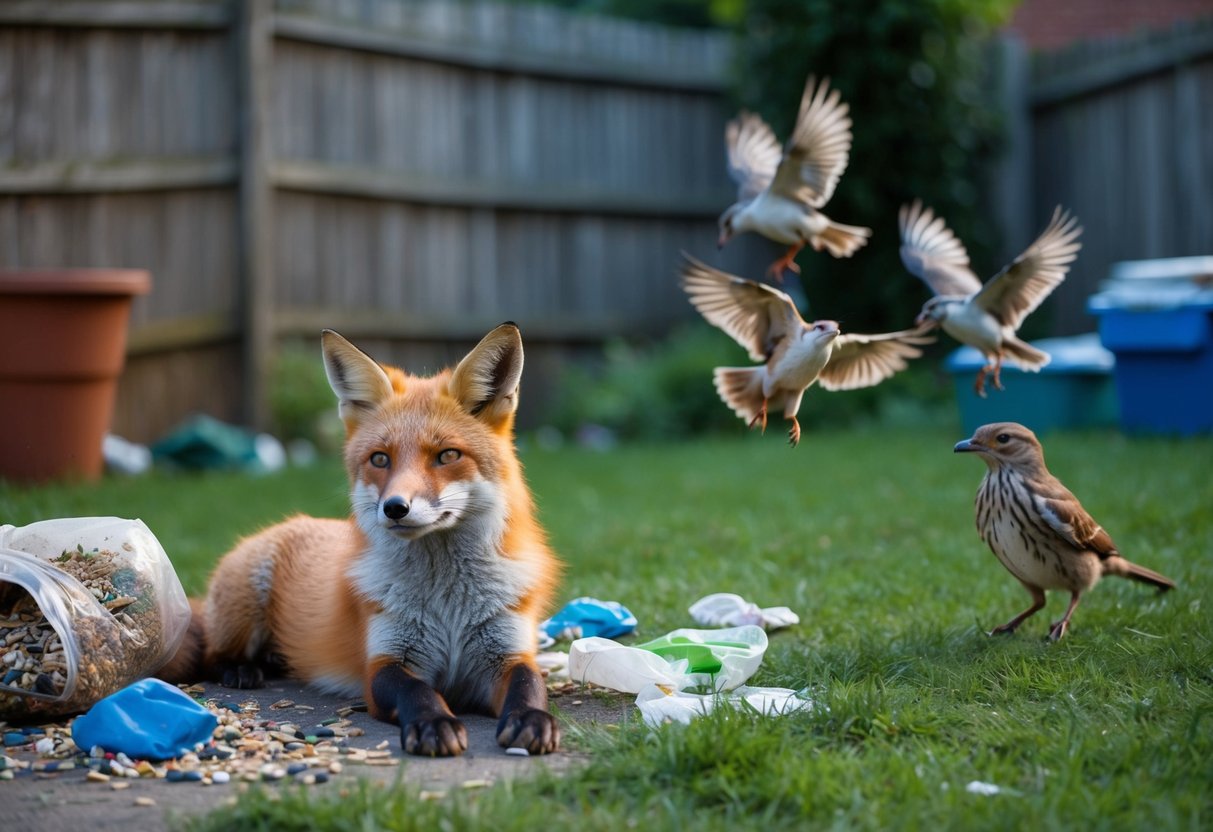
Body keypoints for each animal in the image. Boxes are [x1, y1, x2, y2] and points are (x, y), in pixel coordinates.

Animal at [161, 324, 561, 756]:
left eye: (447, 455)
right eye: (380, 459)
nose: (395, 508)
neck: (448, 606)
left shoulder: (508, 653)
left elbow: (530, 683)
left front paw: (532, 720)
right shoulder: (384, 662)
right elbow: (418, 692)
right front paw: (434, 723)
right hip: (245, 605)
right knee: (210, 653)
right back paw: (241, 668)